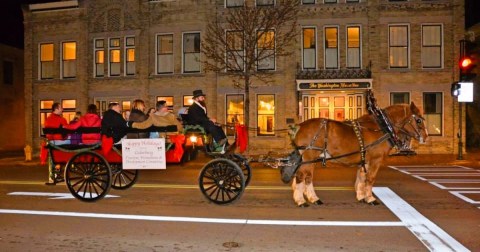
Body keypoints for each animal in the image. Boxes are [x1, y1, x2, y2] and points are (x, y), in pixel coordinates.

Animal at [282, 102, 428, 207]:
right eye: (419, 120)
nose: (426, 137)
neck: (382, 127)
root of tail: (300, 125)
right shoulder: (376, 160)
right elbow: (370, 178)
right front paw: (370, 198)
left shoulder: (366, 161)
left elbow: (362, 178)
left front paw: (362, 197)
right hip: (309, 156)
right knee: (301, 176)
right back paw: (301, 201)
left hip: (311, 158)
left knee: (308, 178)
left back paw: (314, 199)